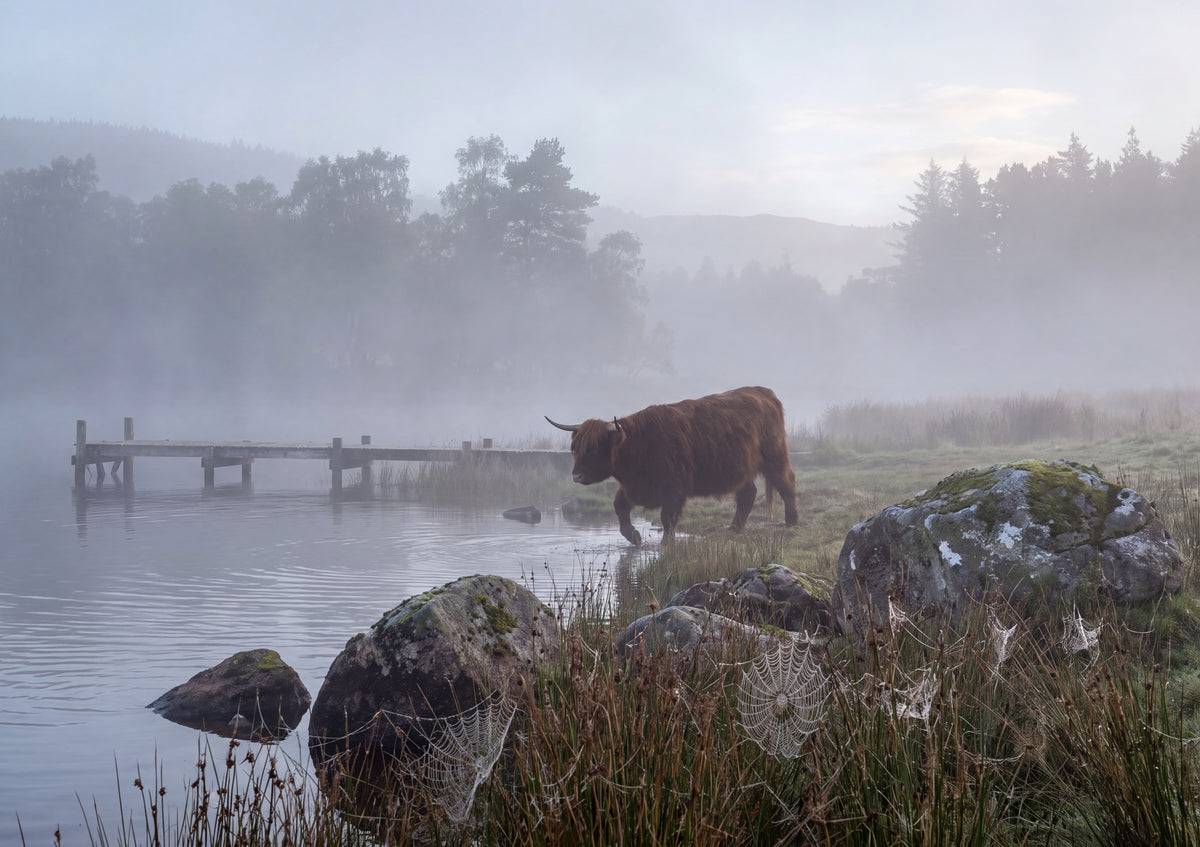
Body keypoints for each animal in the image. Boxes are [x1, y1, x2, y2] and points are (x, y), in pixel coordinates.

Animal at [546, 386, 799, 545]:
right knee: (748, 493)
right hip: (740, 468)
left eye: (594, 448)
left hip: (775, 457)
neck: (639, 444)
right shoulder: (633, 487)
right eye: (575, 447)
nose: (576, 476)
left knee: (786, 483)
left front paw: (666, 543)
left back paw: (792, 522)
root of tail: (764, 392)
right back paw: (735, 527)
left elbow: (667, 518)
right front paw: (634, 537)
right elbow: (619, 507)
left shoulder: (674, 489)